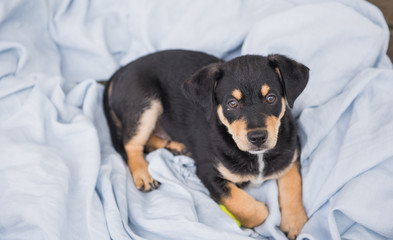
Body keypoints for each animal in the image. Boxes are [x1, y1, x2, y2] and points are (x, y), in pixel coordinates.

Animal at [103, 49, 310, 239]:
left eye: (271, 98)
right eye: (232, 103)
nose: (258, 137)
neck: (257, 157)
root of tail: (122, 70)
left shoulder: (291, 151)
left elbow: (293, 183)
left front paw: (295, 222)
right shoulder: (208, 172)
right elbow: (249, 207)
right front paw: (263, 212)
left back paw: (176, 147)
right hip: (145, 103)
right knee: (131, 145)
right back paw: (143, 175)